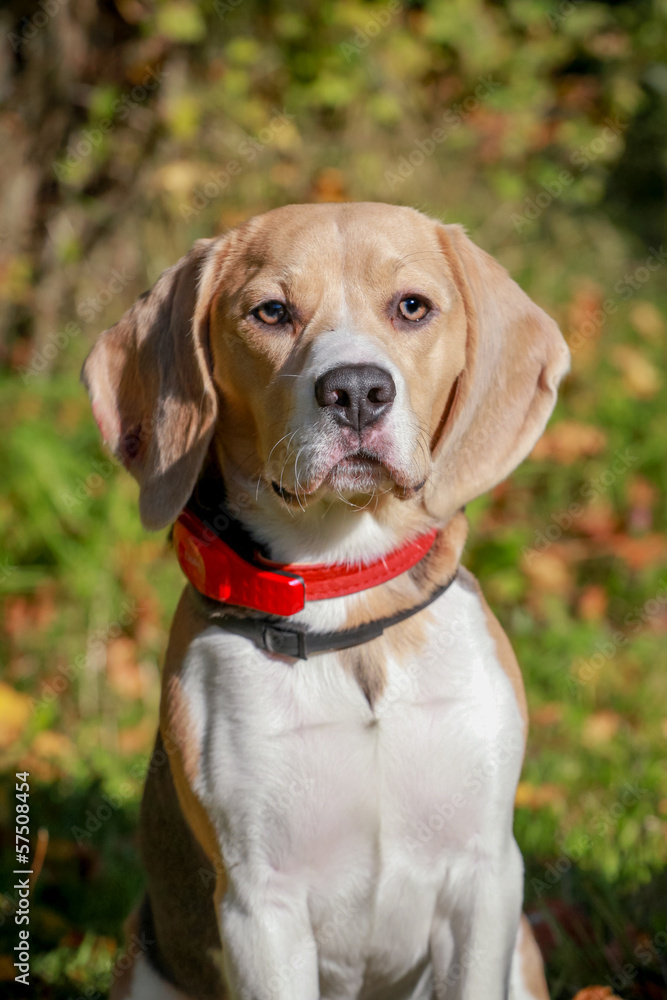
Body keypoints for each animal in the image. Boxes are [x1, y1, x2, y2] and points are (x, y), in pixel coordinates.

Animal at [83, 203, 572, 1000]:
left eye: (412, 307)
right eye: (271, 312)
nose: (357, 391)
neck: (353, 607)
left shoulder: (485, 876)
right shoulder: (261, 906)